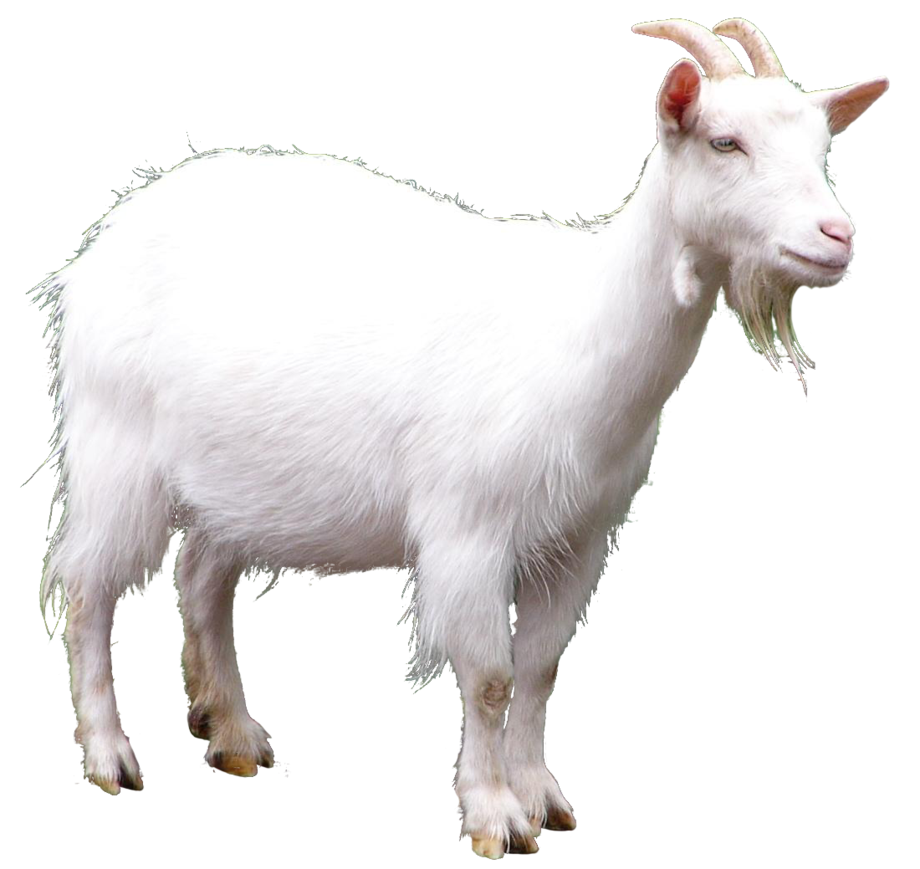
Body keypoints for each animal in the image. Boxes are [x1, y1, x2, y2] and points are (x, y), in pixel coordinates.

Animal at [32, 17, 886, 859]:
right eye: (723, 142)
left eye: (822, 149)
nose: (837, 237)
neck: (579, 327)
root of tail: (119, 222)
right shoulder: (469, 527)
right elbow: (490, 675)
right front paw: (492, 815)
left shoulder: (581, 536)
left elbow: (541, 667)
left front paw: (542, 798)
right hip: (116, 446)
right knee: (89, 587)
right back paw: (111, 757)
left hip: (233, 476)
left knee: (202, 577)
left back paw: (236, 736)